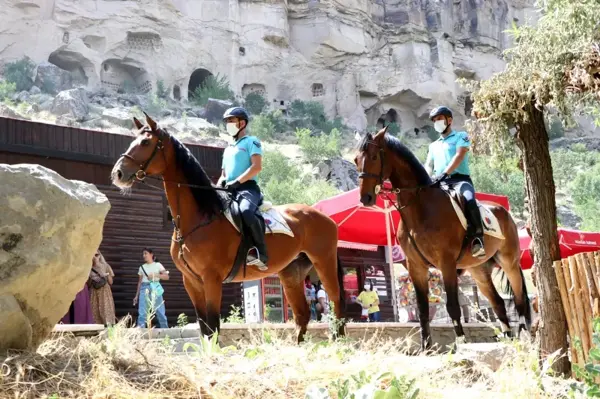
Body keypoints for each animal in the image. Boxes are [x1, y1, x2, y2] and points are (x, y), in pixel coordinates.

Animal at [110, 114, 344, 342]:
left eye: (145, 142)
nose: (117, 173)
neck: (200, 218)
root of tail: (324, 217)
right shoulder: (191, 281)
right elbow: (204, 327)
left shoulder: (211, 278)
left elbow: (213, 325)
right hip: (291, 273)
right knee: (302, 314)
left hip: (323, 261)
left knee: (336, 300)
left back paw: (339, 341)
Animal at [354, 126, 528, 352]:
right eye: (356, 159)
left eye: (374, 157)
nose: (365, 198)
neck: (420, 208)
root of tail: (505, 212)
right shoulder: (416, 266)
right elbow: (422, 309)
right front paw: (426, 348)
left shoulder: (446, 264)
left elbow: (453, 306)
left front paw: (461, 343)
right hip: (478, 270)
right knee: (498, 302)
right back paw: (509, 341)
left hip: (510, 263)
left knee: (519, 300)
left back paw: (525, 337)